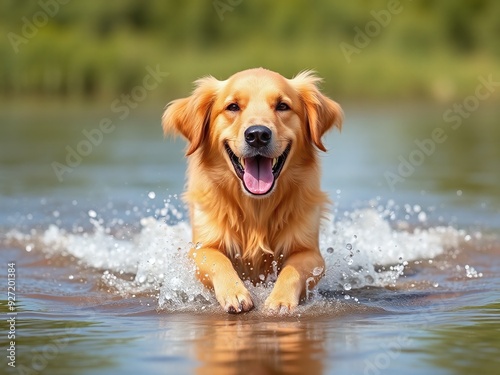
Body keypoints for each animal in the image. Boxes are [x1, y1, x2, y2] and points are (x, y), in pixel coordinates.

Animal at [162, 67, 342, 314]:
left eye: (282, 106)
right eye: (233, 107)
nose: (257, 135)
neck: (256, 206)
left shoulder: (309, 252)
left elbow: (292, 270)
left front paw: (280, 300)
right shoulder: (200, 248)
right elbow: (217, 260)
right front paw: (235, 293)